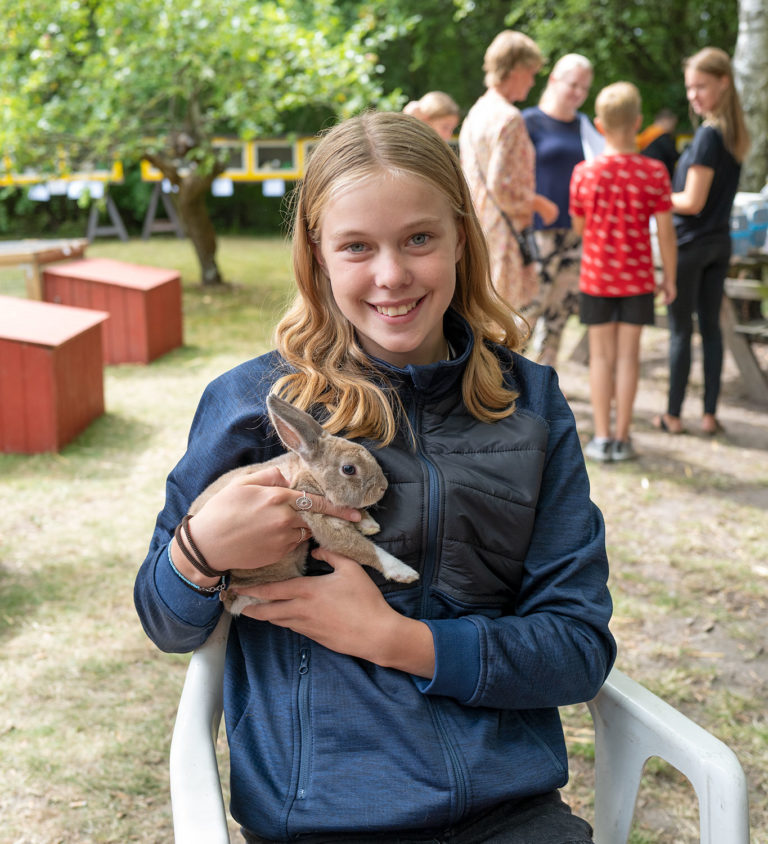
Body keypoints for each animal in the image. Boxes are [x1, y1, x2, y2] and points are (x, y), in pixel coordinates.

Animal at [188, 396, 420, 612]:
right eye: (349, 469)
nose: (383, 487)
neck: (310, 477)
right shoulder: (324, 524)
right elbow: (364, 549)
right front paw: (405, 573)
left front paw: (369, 525)